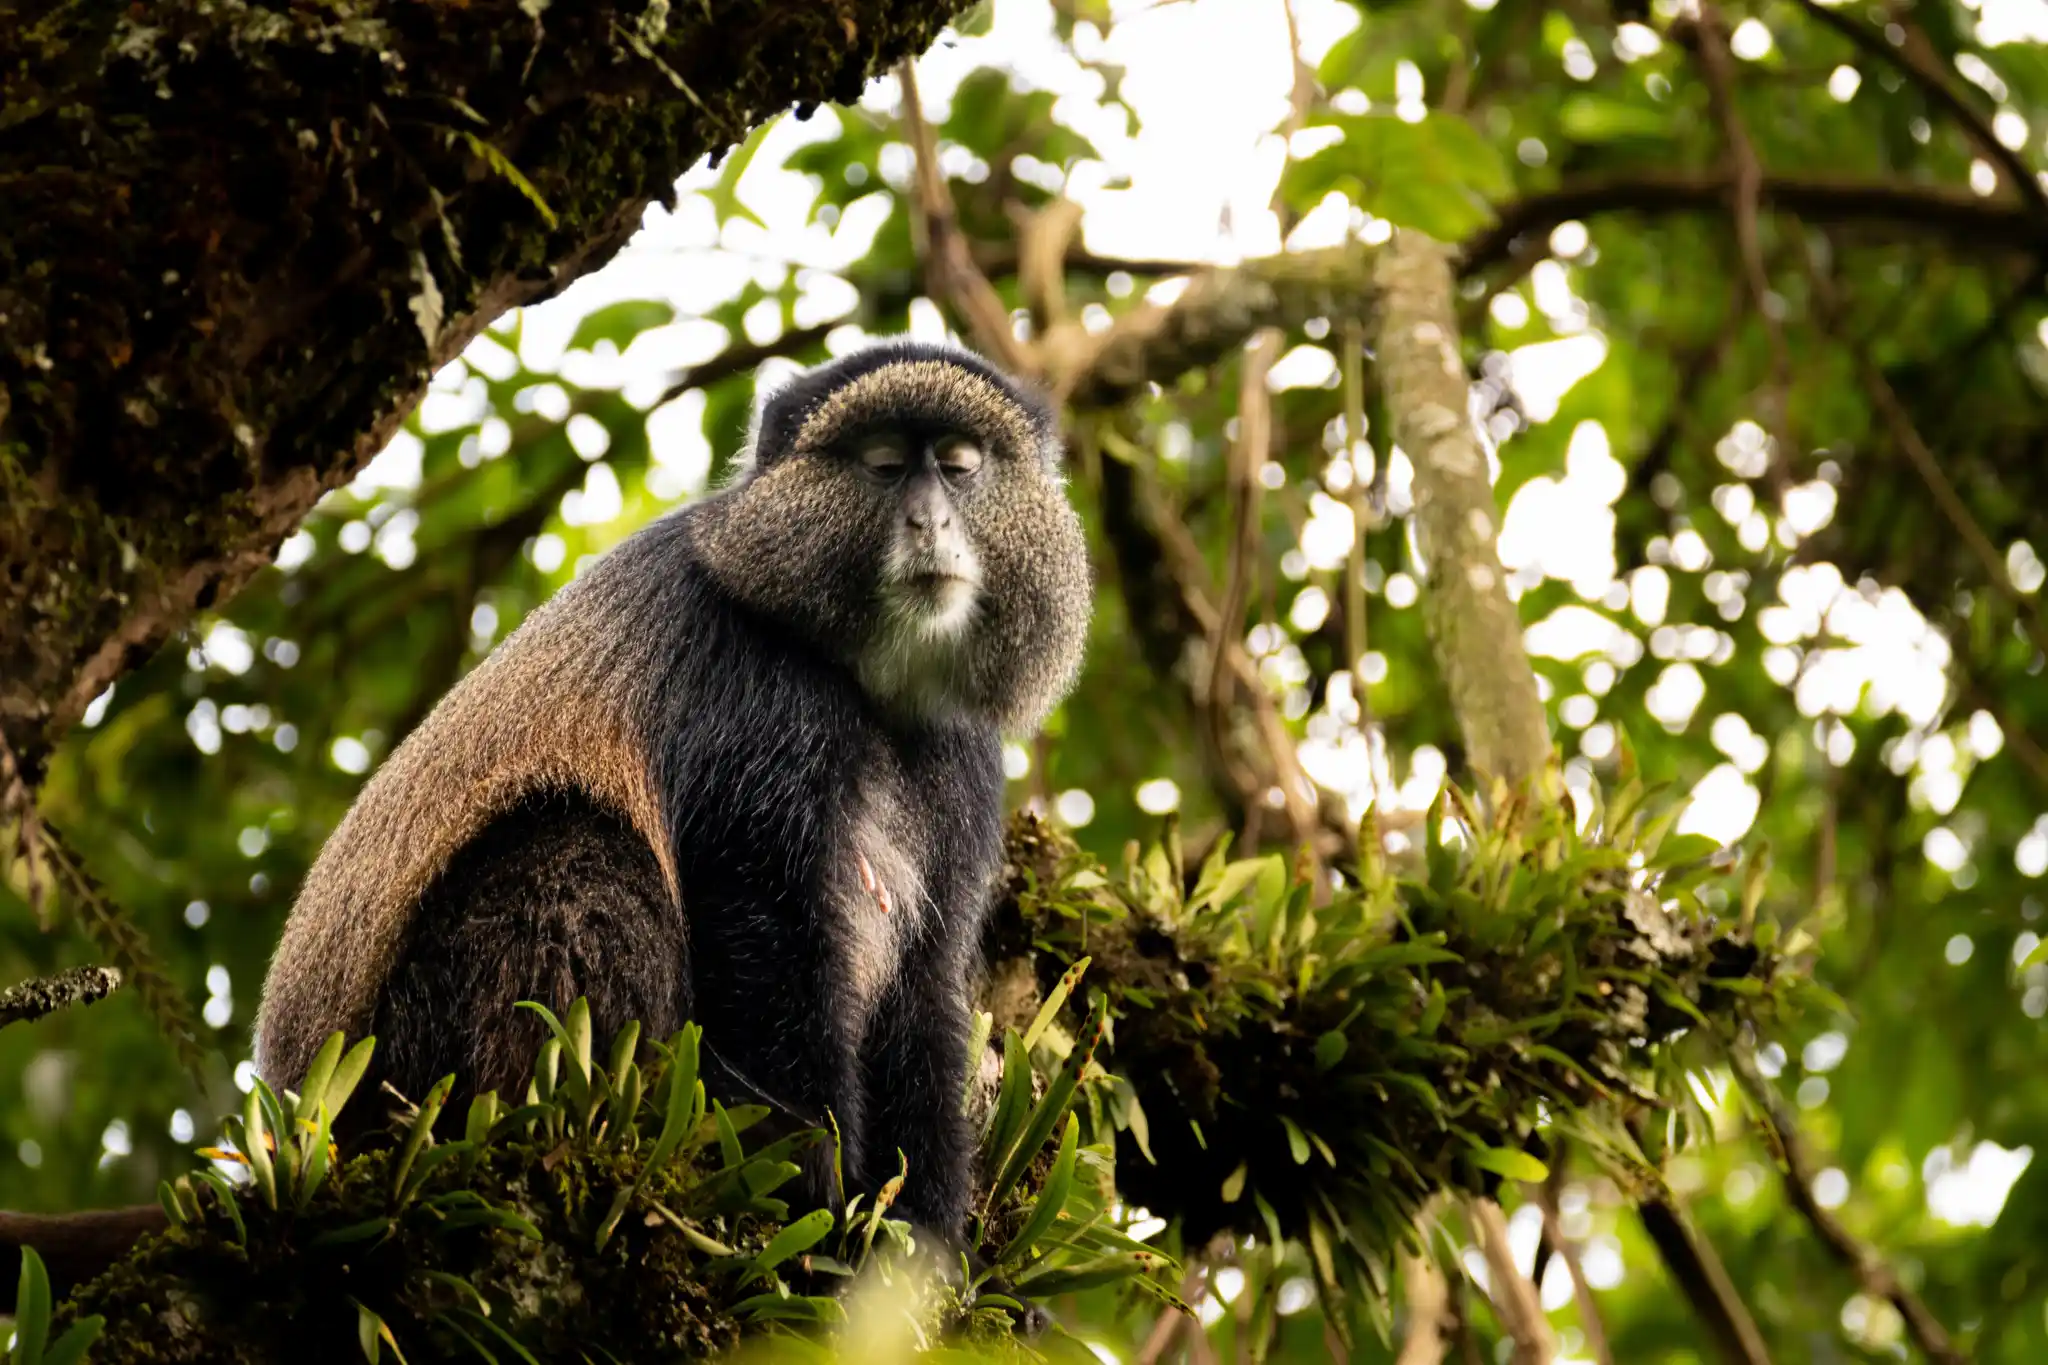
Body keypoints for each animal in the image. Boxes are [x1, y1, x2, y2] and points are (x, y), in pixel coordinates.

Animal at [250, 337, 1092, 1253]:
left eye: (960, 467)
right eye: (884, 465)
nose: (929, 521)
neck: (866, 684)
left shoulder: (962, 762)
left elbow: (927, 985)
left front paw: (918, 1243)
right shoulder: (758, 693)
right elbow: (762, 926)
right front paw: (807, 1202)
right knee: (576, 847)